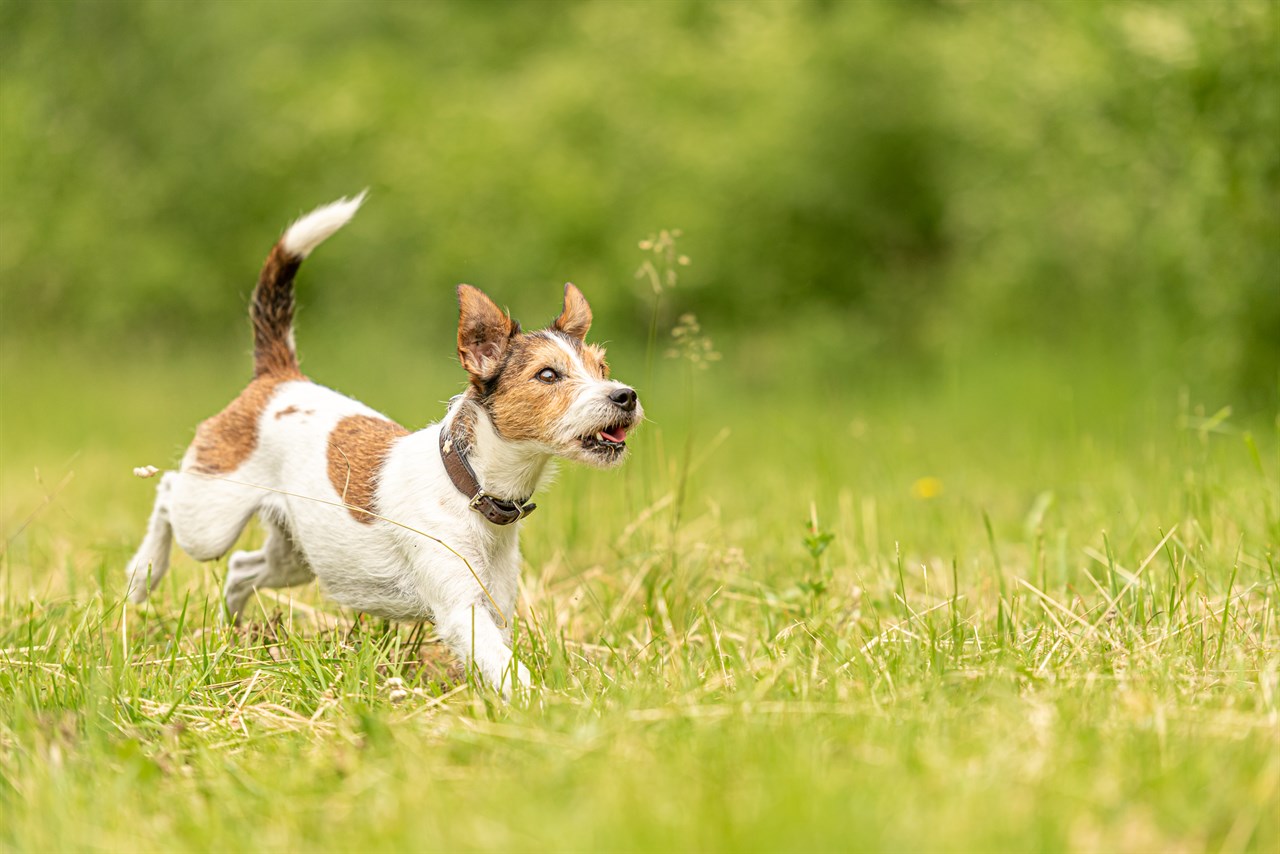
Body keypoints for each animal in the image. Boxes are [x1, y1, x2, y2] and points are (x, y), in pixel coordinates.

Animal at [126, 193, 645, 696]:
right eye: (548, 375)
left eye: (601, 368)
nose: (625, 395)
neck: (469, 483)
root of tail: (279, 377)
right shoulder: (462, 611)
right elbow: (506, 669)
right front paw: (546, 706)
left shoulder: (494, 607)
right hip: (210, 517)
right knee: (168, 492)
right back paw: (142, 574)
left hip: (298, 555)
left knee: (240, 569)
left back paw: (236, 634)